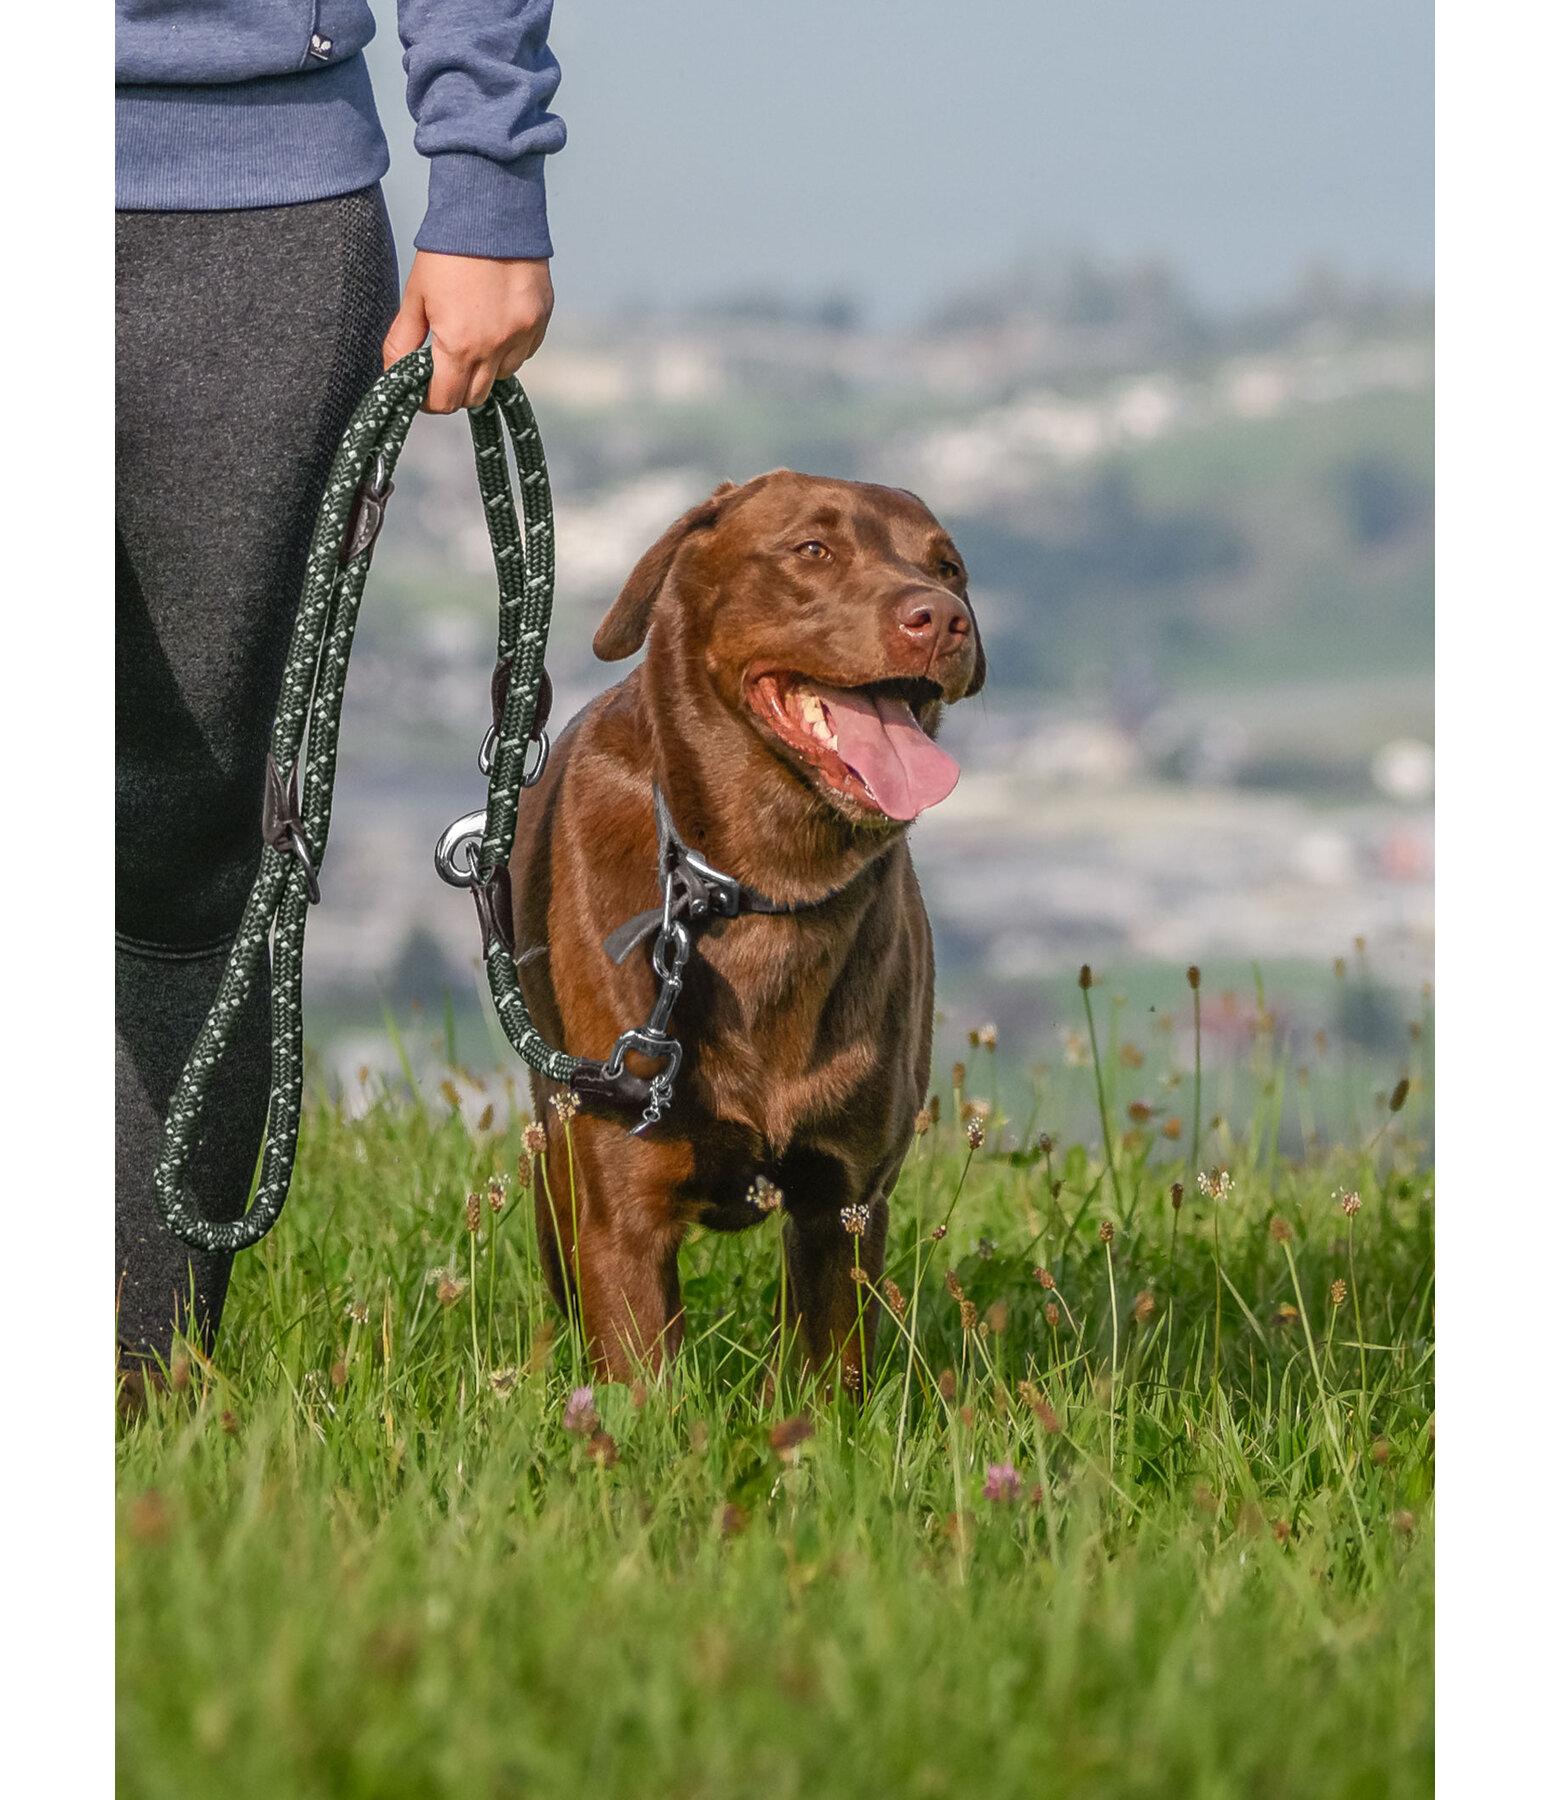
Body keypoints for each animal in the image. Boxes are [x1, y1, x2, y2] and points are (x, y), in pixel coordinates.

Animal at [514, 464, 986, 1375]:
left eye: (950, 568)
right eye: (813, 549)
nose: (941, 618)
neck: (762, 883)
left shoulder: (844, 1204)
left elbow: (828, 1376)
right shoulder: (623, 1212)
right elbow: (637, 1383)